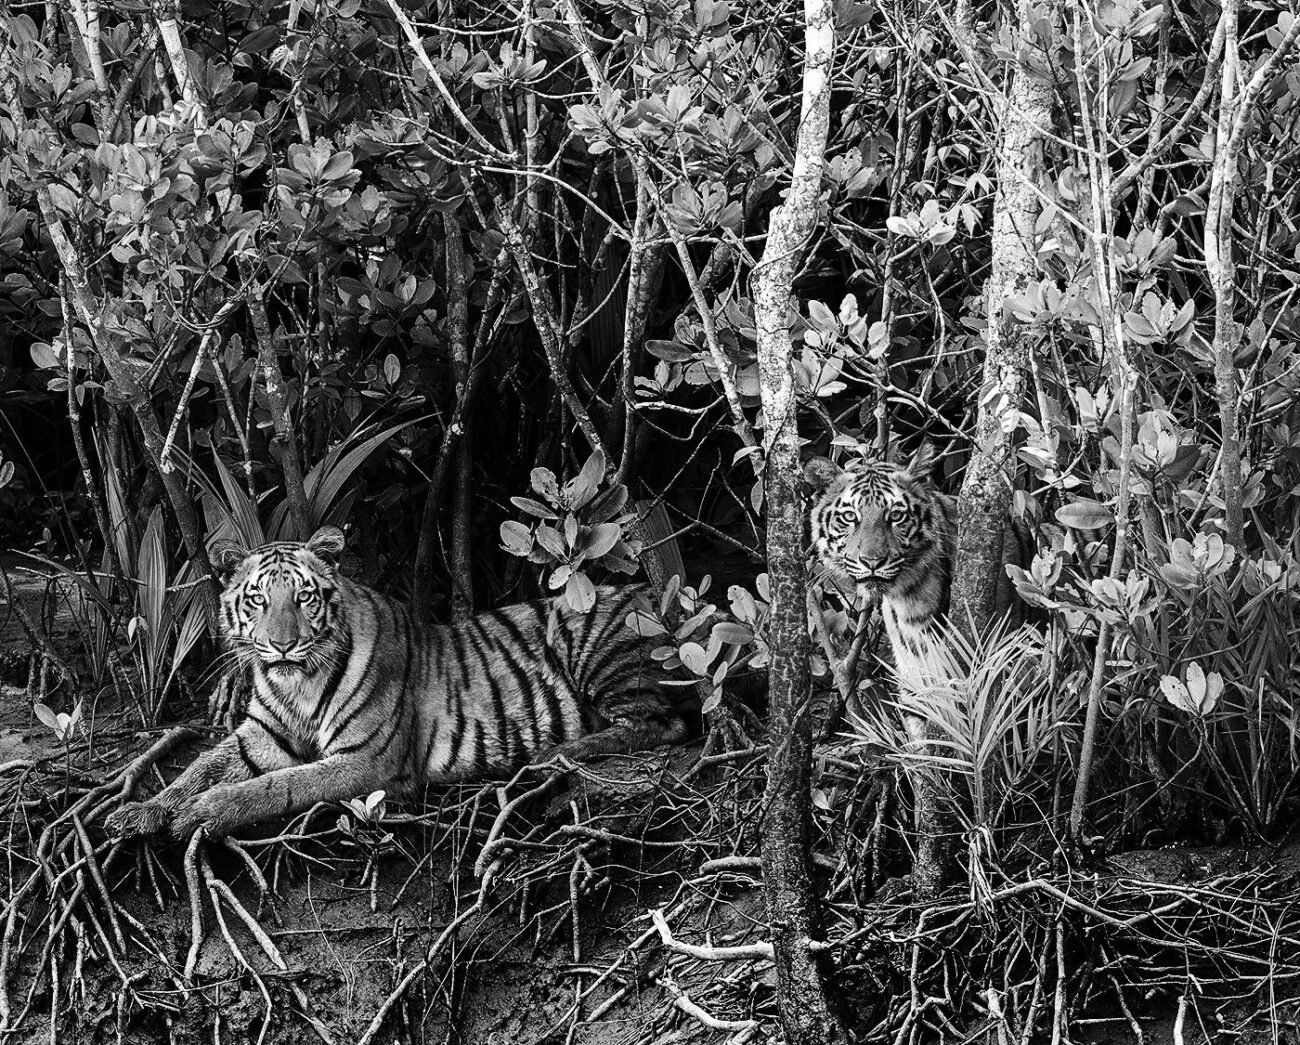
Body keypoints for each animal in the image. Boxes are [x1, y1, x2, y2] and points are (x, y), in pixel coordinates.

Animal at [105, 527, 685, 840]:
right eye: (258, 600)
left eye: (304, 597)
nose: (283, 645)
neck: (297, 684)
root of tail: (652, 597)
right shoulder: (262, 734)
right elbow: (199, 767)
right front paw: (140, 811)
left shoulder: (366, 761)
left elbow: (272, 787)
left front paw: (201, 813)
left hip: (588, 637)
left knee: (664, 725)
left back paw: (553, 755)